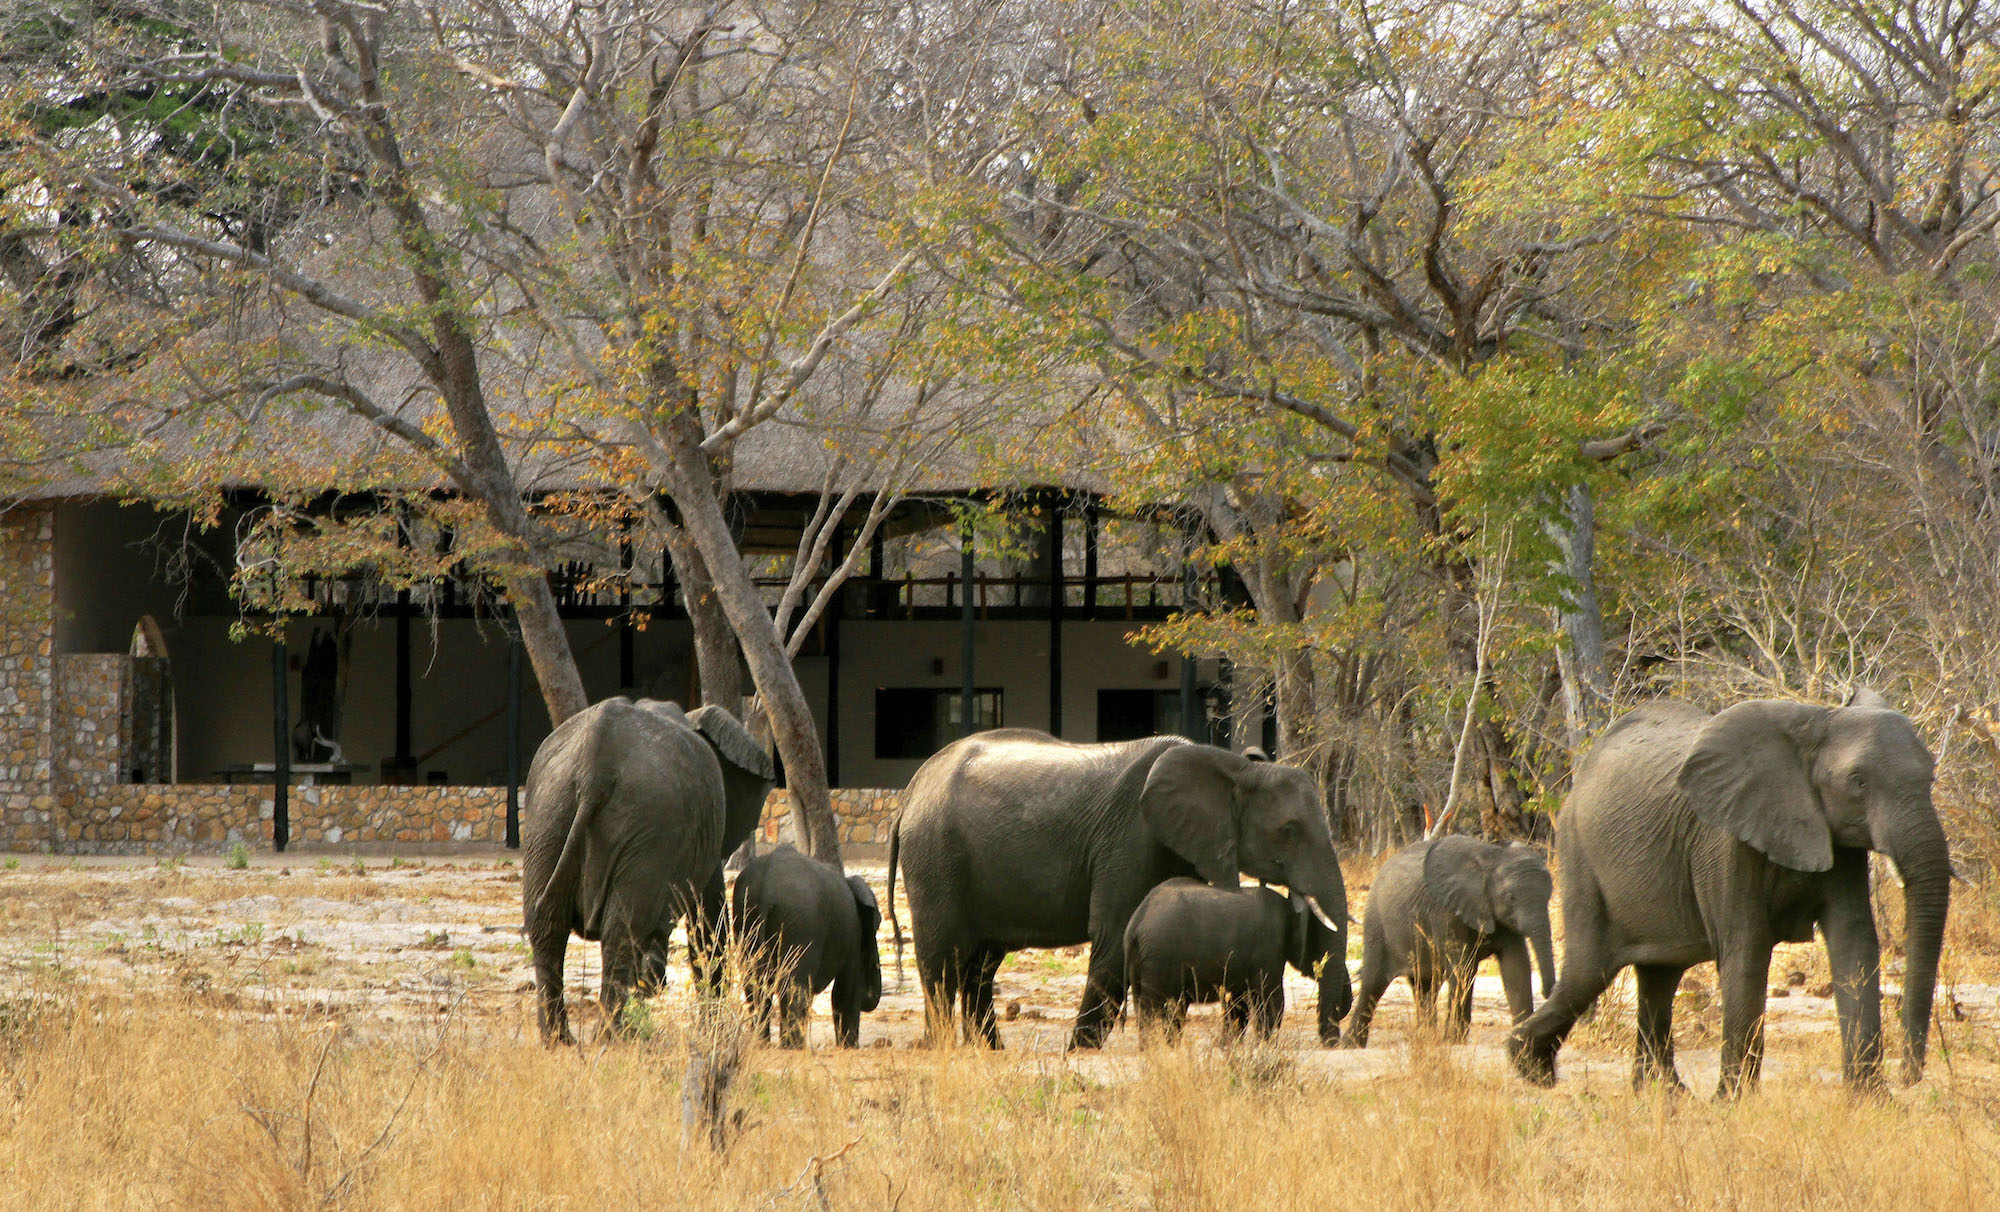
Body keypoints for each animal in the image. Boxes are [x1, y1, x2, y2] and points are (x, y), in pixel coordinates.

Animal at [522, 697, 774, 1045]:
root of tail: (594, 764)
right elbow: (708, 921)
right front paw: (712, 1032)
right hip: (646, 822)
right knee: (622, 931)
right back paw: (611, 1037)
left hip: (549, 814)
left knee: (549, 924)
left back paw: (560, 1040)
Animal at [731, 843, 883, 1049]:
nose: (871, 999)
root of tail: (763, 886)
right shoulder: (854, 933)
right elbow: (845, 990)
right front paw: (849, 1048)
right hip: (801, 923)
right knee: (794, 987)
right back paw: (793, 1048)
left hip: (746, 918)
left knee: (755, 984)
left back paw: (763, 1045)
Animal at [1122, 877, 1350, 1046]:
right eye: (1319, 942)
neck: (1289, 907)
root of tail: (1136, 924)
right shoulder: (1268, 948)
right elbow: (1270, 997)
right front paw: (1265, 1045)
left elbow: (1238, 1003)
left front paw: (1230, 1045)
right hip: (1160, 955)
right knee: (1155, 1006)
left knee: (1156, 1006)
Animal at [1343, 837, 1554, 1048]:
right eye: (1510, 897)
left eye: (1549, 896)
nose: (1547, 992)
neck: (1491, 859)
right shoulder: (1444, 910)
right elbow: (1463, 968)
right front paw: (1454, 1040)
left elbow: (1516, 967)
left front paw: (1522, 1041)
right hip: (1376, 922)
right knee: (1373, 981)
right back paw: (1350, 1044)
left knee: (1426, 985)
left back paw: (1427, 1038)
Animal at [1508, 692, 1950, 1095]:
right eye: (1858, 782)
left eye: (1931, 777)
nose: (1910, 1077)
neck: (1817, 720)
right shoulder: (1723, 841)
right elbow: (1746, 950)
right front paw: (1734, 1104)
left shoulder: (1838, 843)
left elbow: (1854, 945)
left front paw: (1872, 1102)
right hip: (1579, 854)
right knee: (1589, 970)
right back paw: (1529, 1068)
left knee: (1657, 977)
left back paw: (1664, 1095)